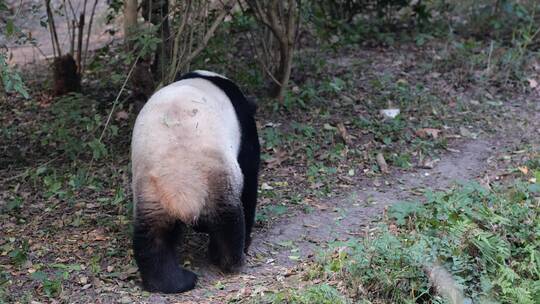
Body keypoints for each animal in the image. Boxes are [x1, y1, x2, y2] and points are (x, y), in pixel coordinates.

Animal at [129, 70, 260, 294]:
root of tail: (179, 185)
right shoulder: (244, 128)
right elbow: (250, 178)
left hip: (150, 190)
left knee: (152, 237)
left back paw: (171, 282)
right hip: (217, 176)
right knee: (228, 219)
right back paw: (231, 260)